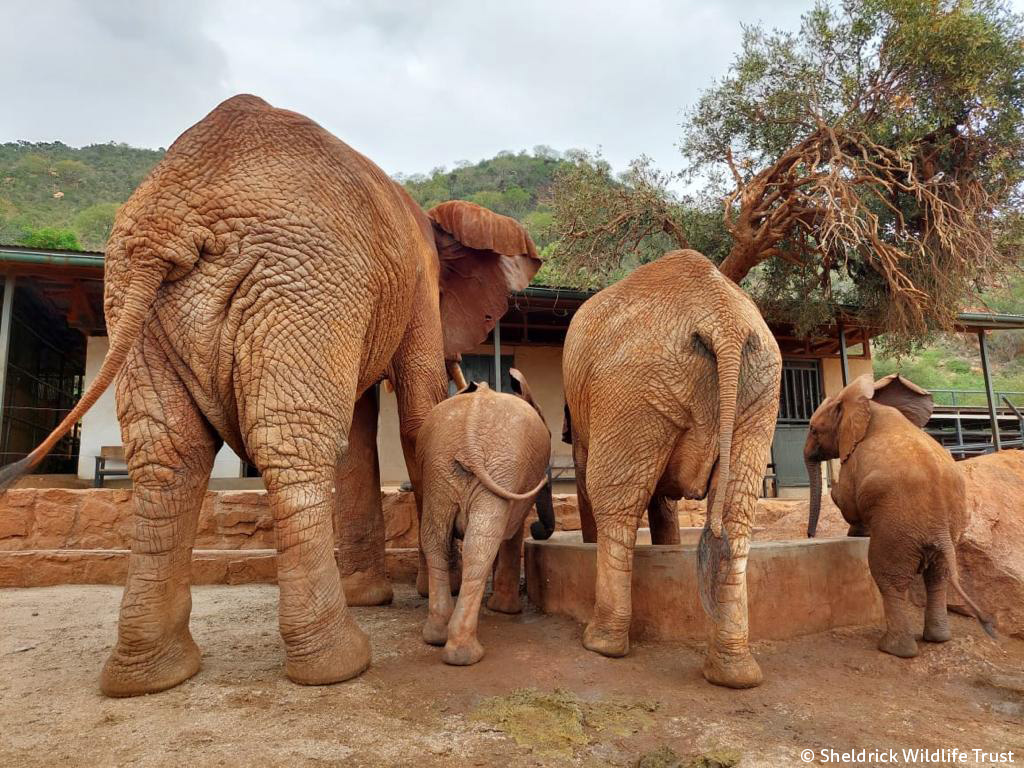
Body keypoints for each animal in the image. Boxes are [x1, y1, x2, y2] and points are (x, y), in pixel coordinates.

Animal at [418, 369, 554, 665]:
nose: (539, 529)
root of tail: (470, 425)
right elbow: (512, 534)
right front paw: (506, 611)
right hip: (497, 465)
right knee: (480, 546)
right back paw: (465, 654)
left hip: (440, 468)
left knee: (436, 540)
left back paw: (437, 636)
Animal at [561, 249, 781, 689]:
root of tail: (725, 323)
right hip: (754, 387)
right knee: (736, 513)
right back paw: (735, 675)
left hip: (633, 386)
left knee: (615, 502)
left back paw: (601, 645)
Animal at [805, 373, 996, 657]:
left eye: (814, 429)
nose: (809, 535)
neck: (868, 405)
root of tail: (940, 529)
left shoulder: (855, 459)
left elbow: (848, 500)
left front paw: (854, 528)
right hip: (945, 531)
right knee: (937, 578)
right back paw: (937, 638)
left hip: (897, 532)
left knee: (888, 578)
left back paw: (894, 649)